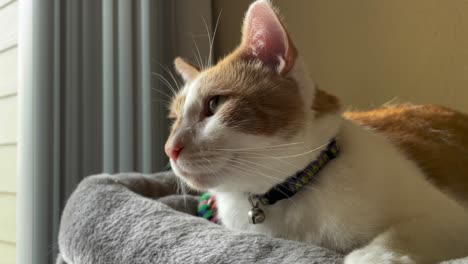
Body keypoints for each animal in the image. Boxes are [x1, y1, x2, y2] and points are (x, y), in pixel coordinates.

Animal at [164, 1, 468, 262]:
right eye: (175, 118)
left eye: (214, 104)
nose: (170, 149)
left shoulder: (452, 218)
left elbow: (406, 232)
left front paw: (371, 256)